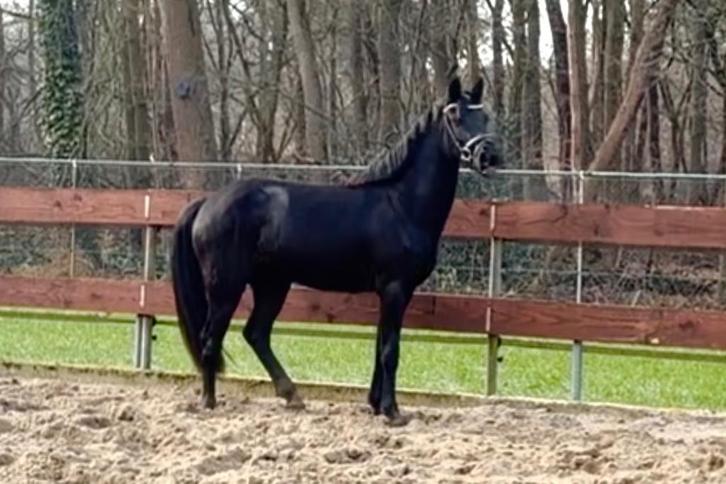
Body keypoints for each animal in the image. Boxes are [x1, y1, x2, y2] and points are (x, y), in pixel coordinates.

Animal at [170, 75, 504, 426]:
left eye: (485, 115)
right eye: (455, 116)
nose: (489, 156)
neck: (401, 205)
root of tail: (208, 202)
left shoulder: (389, 292)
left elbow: (379, 346)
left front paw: (375, 404)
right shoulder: (395, 289)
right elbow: (390, 350)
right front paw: (392, 411)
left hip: (272, 285)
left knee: (256, 333)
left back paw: (291, 395)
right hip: (226, 288)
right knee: (211, 338)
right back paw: (209, 401)